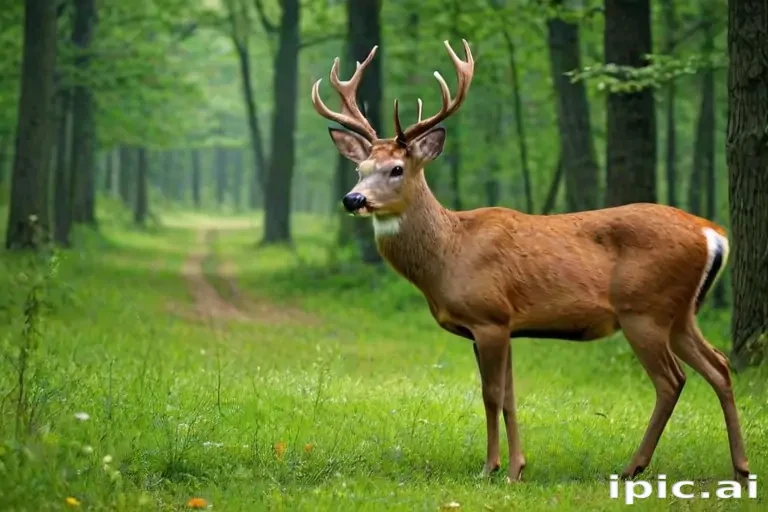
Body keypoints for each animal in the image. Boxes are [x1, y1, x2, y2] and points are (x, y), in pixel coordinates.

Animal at [310, 39, 750, 484]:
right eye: (360, 168)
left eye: (397, 168)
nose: (353, 199)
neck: (449, 254)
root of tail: (712, 233)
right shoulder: (500, 326)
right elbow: (508, 396)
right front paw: (516, 467)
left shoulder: (489, 317)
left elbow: (491, 395)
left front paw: (492, 468)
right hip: (681, 313)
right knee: (719, 366)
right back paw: (741, 467)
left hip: (645, 309)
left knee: (671, 380)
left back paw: (634, 466)